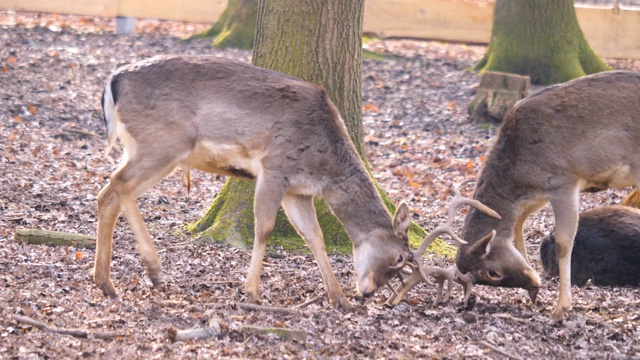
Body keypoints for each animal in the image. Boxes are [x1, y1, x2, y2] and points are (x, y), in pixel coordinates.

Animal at [96, 54, 416, 308]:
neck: (324, 167)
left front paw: (339, 298)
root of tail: (113, 80)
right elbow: (264, 228)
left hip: (140, 146)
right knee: (119, 183)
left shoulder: (298, 192)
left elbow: (314, 236)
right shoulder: (274, 167)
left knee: (107, 193)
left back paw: (105, 283)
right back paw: (153, 269)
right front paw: (250, 291)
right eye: (400, 257)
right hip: (164, 143)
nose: (368, 292)